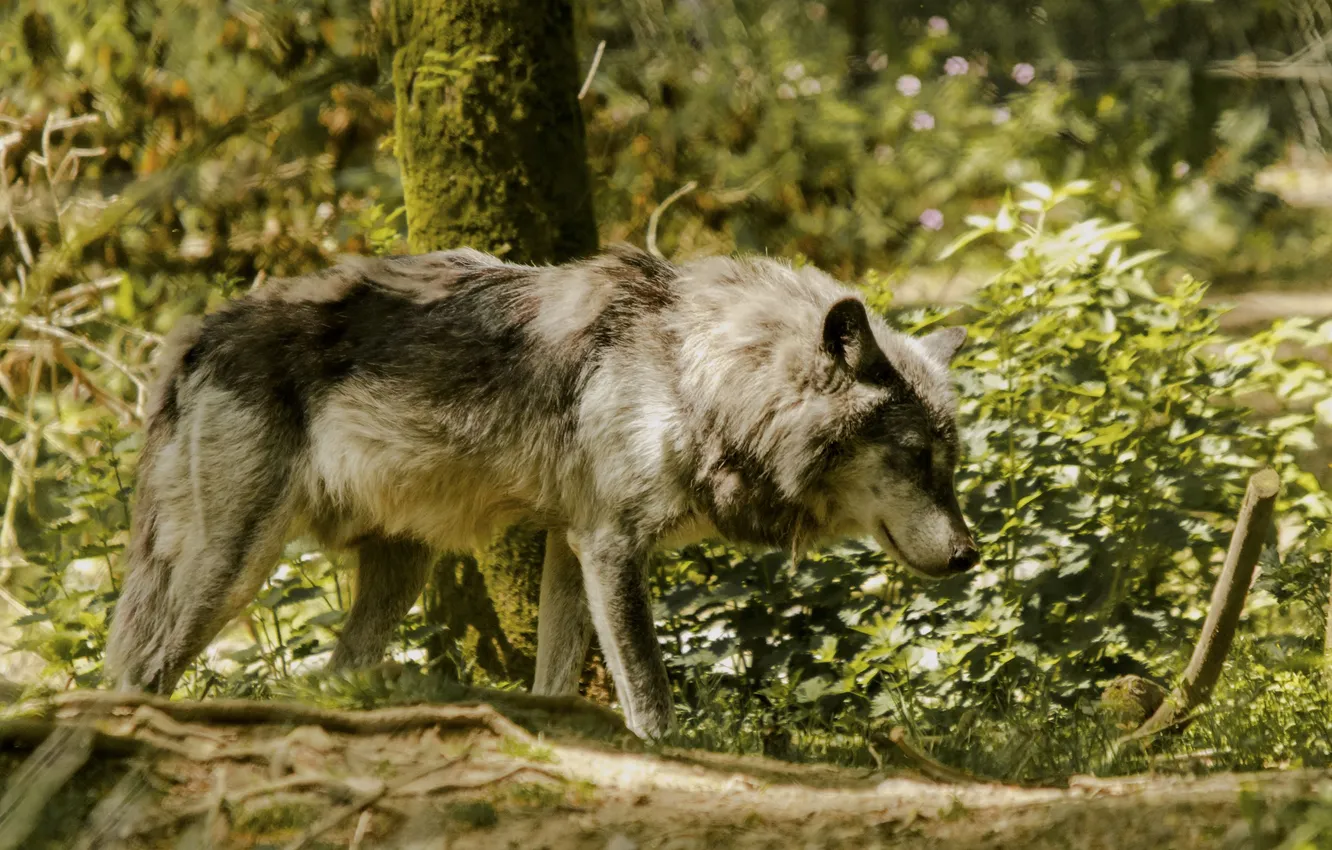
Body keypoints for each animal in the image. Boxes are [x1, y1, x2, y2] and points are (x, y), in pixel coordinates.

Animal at [103, 244, 978, 739]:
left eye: (952, 460)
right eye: (914, 457)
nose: (970, 555)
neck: (692, 368)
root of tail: (196, 333)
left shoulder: (572, 542)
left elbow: (556, 678)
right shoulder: (612, 546)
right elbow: (650, 690)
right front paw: (670, 757)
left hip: (398, 572)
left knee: (328, 677)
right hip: (234, 568)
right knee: (146, 669)